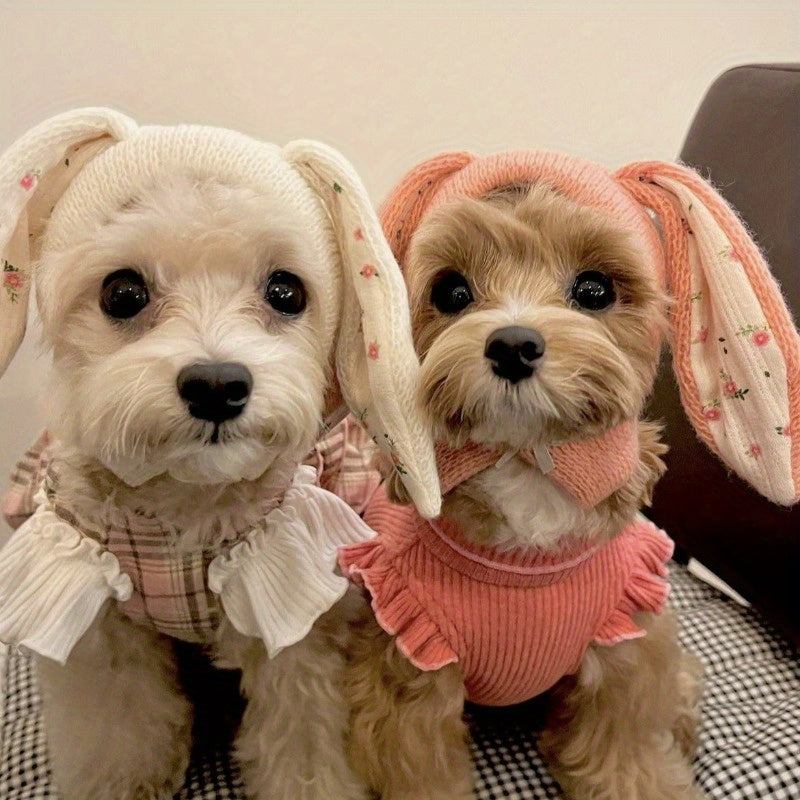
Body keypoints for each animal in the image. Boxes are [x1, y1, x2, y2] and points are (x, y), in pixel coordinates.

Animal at [0, 109, 438, 800]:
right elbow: (117, 732)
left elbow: (302, 741)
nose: (216, 385)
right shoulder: (100, 630)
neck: (183, 509)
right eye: (122, 292)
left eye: (287, 291)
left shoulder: (298, 617)